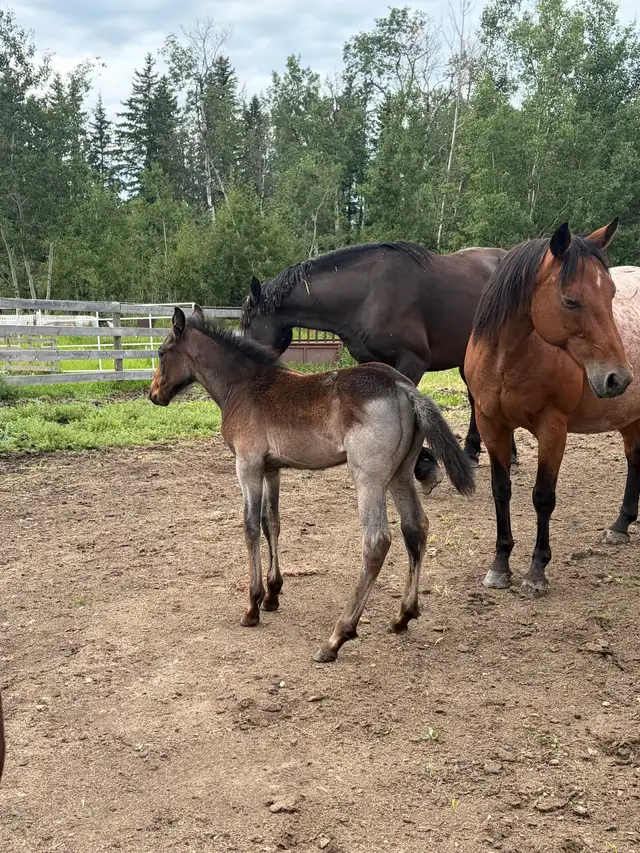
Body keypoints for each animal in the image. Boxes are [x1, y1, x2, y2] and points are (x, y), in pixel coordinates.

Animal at [149, 305, 475, 662]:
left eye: (161, 352)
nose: (153, 395)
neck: (244, 386)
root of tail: (403, 386)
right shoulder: (271, 469)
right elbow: (271, 522)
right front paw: (273, 595)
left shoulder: (247, 465)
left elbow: (250, 527)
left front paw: (253, 605)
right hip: (400, 473)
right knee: (416, 527)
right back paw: (403, 615)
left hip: (368, 476)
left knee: (377, 541)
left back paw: (336, 637)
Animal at [239, 241, 517, 487]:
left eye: (248, 323)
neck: (367, 295)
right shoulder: (370, 361)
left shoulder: (413, 360)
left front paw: (425, 467)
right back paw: (487, 452)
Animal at [464, 219, 638, 596]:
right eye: (570, 300)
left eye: (611, 294)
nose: (618, 378)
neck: (508, 360)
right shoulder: (491, 425)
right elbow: (501, 491)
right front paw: (500, 565)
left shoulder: (553, 428)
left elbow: (543, 496)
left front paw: (536, 571)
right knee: (635, 460)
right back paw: (620, 525)